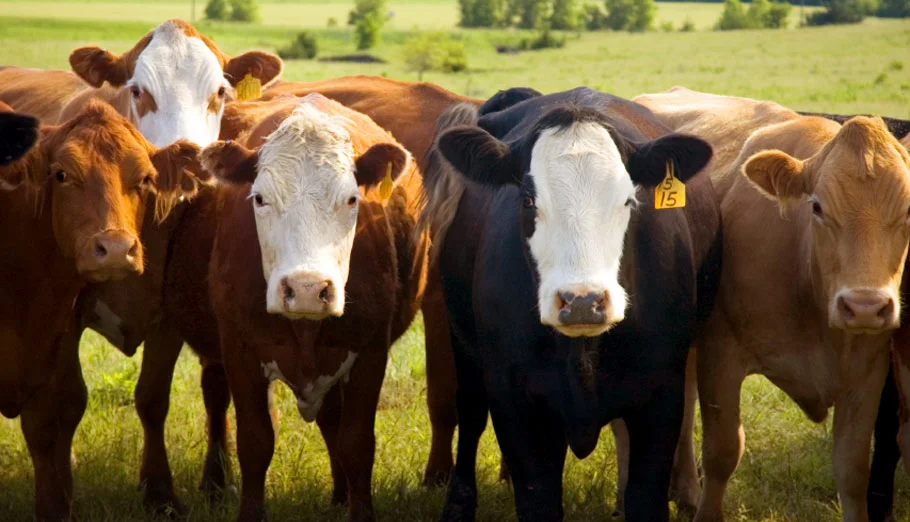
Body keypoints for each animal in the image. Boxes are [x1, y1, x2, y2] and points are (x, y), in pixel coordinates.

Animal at [0, 101, 208, 521]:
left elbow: (149, 399)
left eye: (145, 178)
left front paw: (160, 494)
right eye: (61, 174)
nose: (114, 249)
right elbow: (66, 408)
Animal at [201, 92, 429, 522]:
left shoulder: (369, 352)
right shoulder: (238, 349)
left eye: (352, 198)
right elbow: (255, 444)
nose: (307, 289)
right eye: (260, 198)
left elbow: (357, 445)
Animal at [420, 86, 720, 522]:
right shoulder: (514, 401)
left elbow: (645, 498)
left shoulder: (661, 397)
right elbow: (538, 499)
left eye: (629, 200)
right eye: (528, 200)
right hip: (464, 347)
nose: (583, 301)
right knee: (470, 413)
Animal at [635, 86, 910, 522]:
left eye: (909, 210)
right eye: (817, 206)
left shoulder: (868, 370)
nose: (864, 306)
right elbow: (723, 452)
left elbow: (852, 469)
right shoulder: (722, 355)